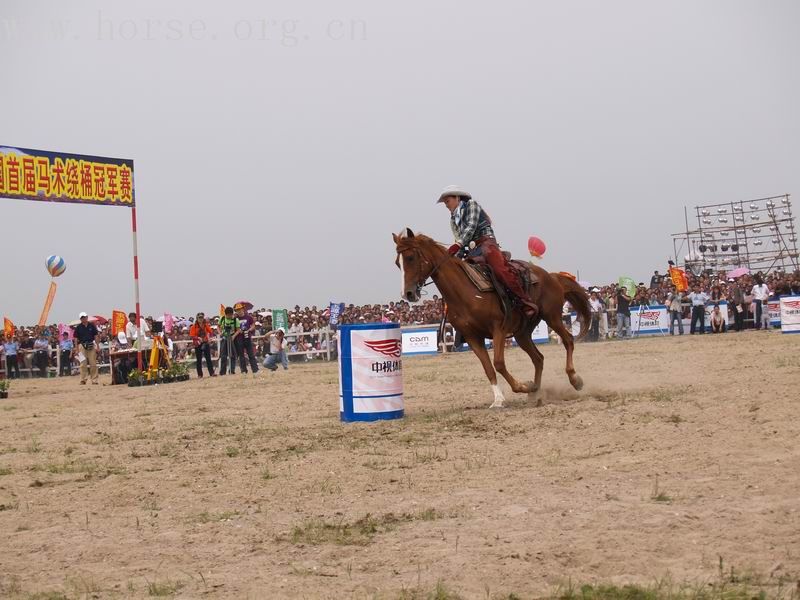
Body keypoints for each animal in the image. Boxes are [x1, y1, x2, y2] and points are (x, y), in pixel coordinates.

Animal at [390, 229, 592, 408]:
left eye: (410, 257)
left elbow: (499, 363)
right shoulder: (472, 337)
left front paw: (521, 386)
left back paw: (575, 379)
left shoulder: (498, 329)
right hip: (522, 333)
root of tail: (551, 276)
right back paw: (535, 392)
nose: (408, 294)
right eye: (397, 263)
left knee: (568, 340)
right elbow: (488, 368)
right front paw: (501, 398)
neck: (464, 292)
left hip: (552, 317)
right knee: (538, 358)